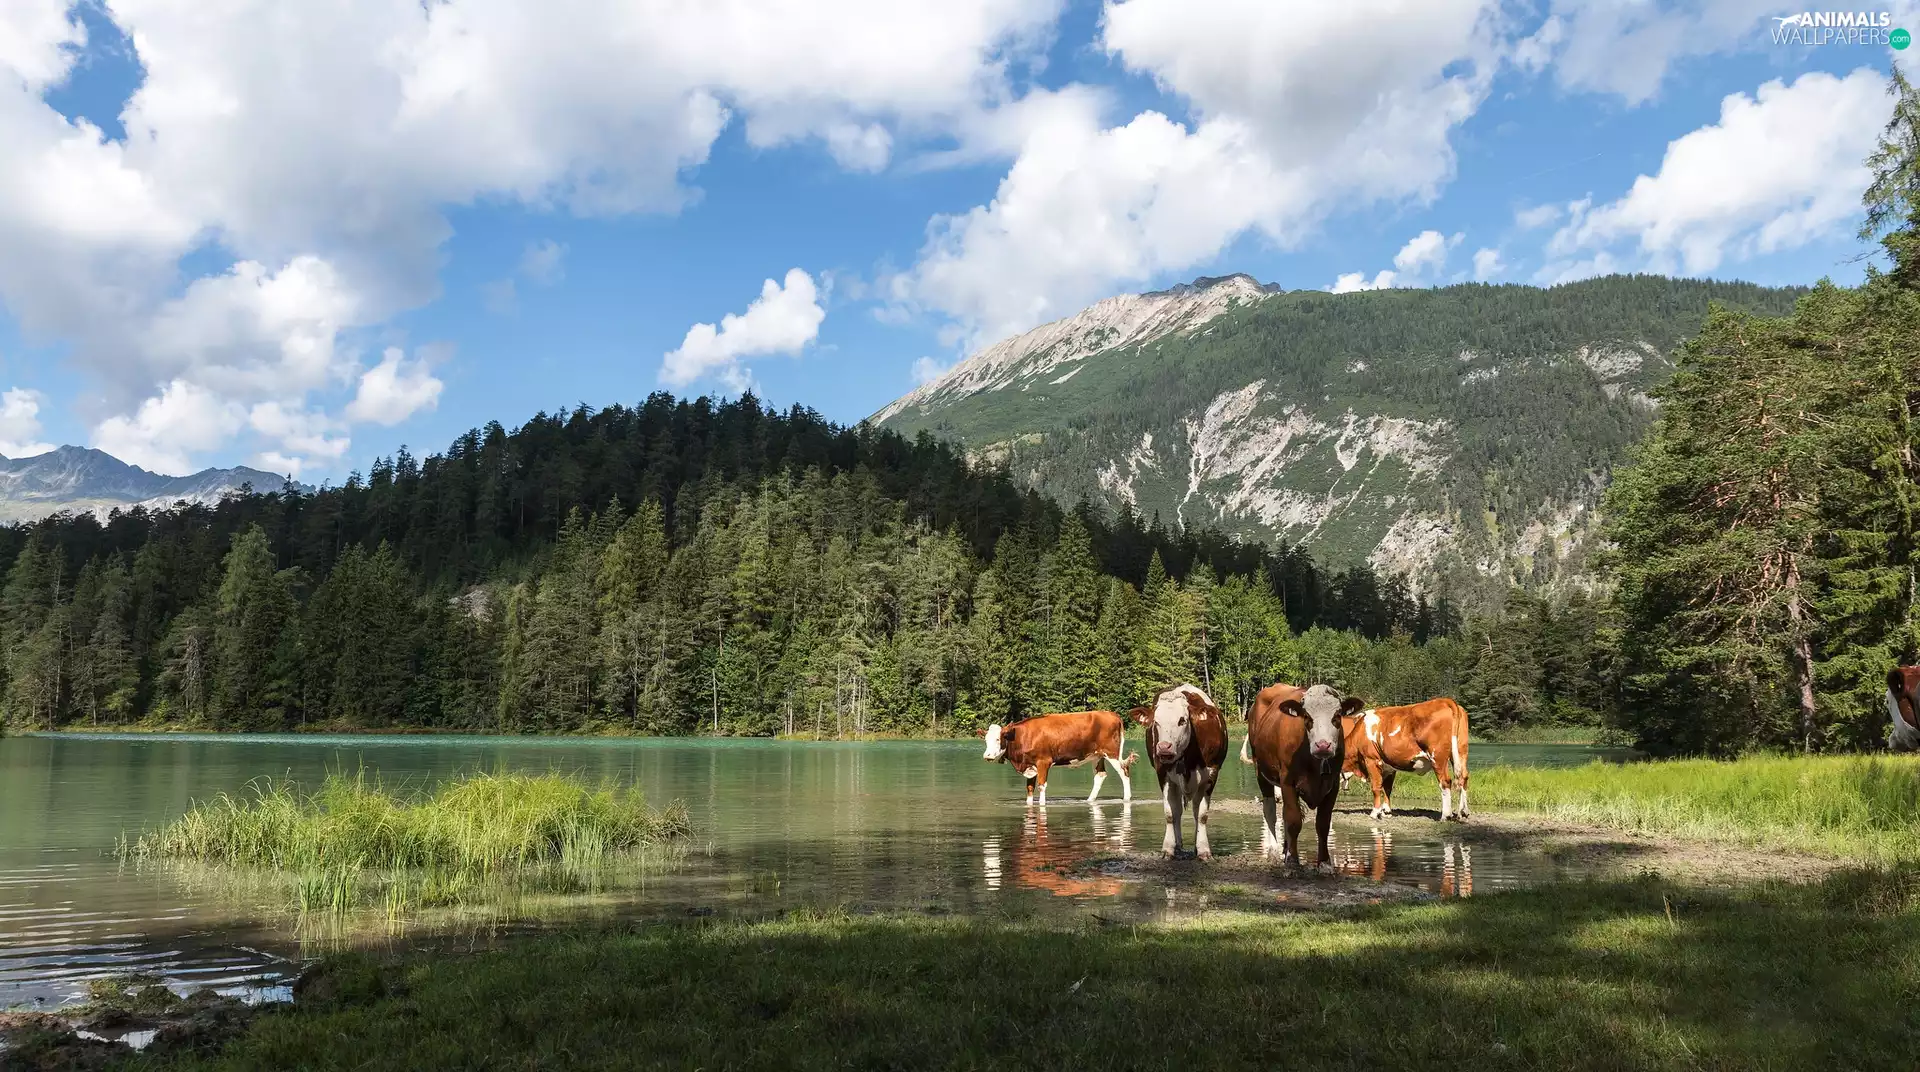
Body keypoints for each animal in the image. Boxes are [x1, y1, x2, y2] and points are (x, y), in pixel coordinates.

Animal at [978, 710, 1136, 806]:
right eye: (985, 740)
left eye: (999, 739)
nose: (987, 756)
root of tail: (1111, 714)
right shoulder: (1030, 765)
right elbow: (1029, 788)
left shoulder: (1043, 762)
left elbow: (1042, 786)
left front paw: (1042, 804)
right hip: (1096, 755)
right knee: (1100, 775)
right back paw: (1089, 800)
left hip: (1112, 753)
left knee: (1124, 771)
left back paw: (1126, 798)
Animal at [1130, 684, 1230, 859]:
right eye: (1156, 721)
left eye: (1182, 720)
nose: (1164, 747)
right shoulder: (1163, 775)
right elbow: (1170, 813)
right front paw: (1168, 849)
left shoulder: (1211, 775)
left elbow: (1201, 815)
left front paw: (1203, 849)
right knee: (1178, 812)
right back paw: (1177, 846)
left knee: (1195, 811)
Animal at [1245, 682, 1362, 871]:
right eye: (1307, 716)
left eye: (1337, 716)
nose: (1323, 745)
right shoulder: (1287, 781)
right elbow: (1293, 821)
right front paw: (1293, 862)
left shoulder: (1333, 785)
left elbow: (1323, 824)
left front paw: (1324, 863)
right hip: (1261, 772)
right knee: (1270, 812)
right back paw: (1274, 852)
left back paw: (1285, 851)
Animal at [1340, 697, 1472, 821]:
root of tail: (1445, 700)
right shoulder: (1389, 766)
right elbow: (1387, 788)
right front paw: (1386, 812)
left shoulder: (1371, 759)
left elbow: (1376, 786)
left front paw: (1375, 813)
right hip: (1461, 751)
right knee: (1463, 777)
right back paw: (1463, 813)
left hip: (1438, 757)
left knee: (1445, 782)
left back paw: (1446, 815)